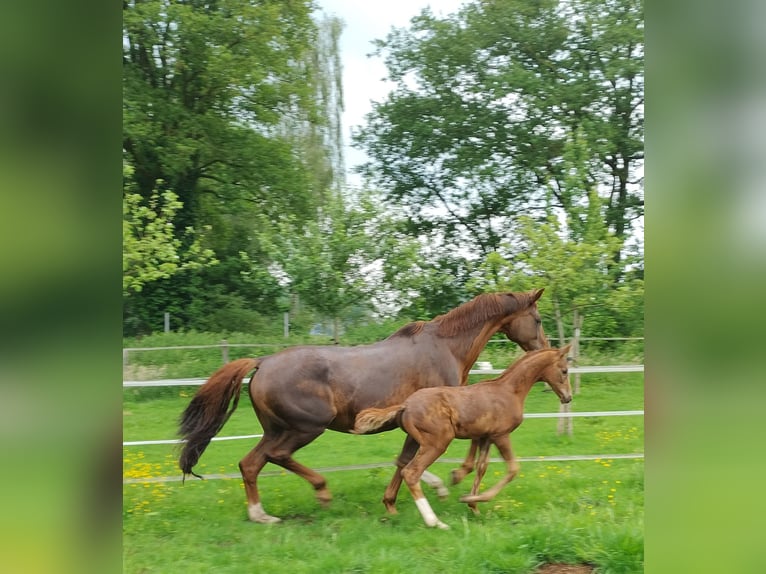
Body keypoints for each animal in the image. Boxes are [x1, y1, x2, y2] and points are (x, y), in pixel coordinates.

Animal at [180, 290, 548, 524]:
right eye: (539, 319)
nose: (545, 351)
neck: (445, 348)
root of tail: (263, 361)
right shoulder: (431, 420)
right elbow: (410, 462)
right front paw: (443, 484)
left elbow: (403, 461)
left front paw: (392, 504)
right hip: (306, 427)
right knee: (276, 456)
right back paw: (321, 492)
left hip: (275, 428)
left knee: (250, 464)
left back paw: (262, 515)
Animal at [352, 346, 572, 532]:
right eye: (564, 371)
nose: (568, 397)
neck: (509, 391)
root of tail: (405, 405)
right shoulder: (501, 435)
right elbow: (512, 469)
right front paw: (471, 497)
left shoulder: (485, 437)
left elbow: (481, 467)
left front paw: (472, 502)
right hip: (439, 441)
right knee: (411, 471)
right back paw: (436, 522)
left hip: (421, 440)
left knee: (403, 463)